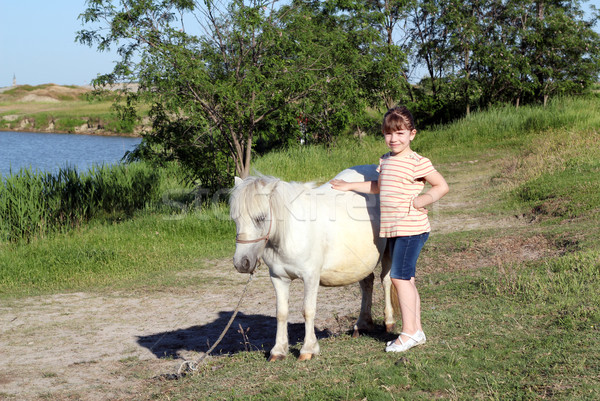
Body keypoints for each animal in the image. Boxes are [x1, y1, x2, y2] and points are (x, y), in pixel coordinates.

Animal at [232, 164, 396, 360]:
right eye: (235, 219)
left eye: (261, 217)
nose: (242, 263)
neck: (290, 232)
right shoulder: (278, 278)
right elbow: (281, 313)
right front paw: (278, 350)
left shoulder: (311, 277)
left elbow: (308, 310)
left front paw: (308, 349)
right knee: (367, 283)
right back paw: (362, 324)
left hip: (389, 249)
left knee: (386, 281)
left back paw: (389, 322)